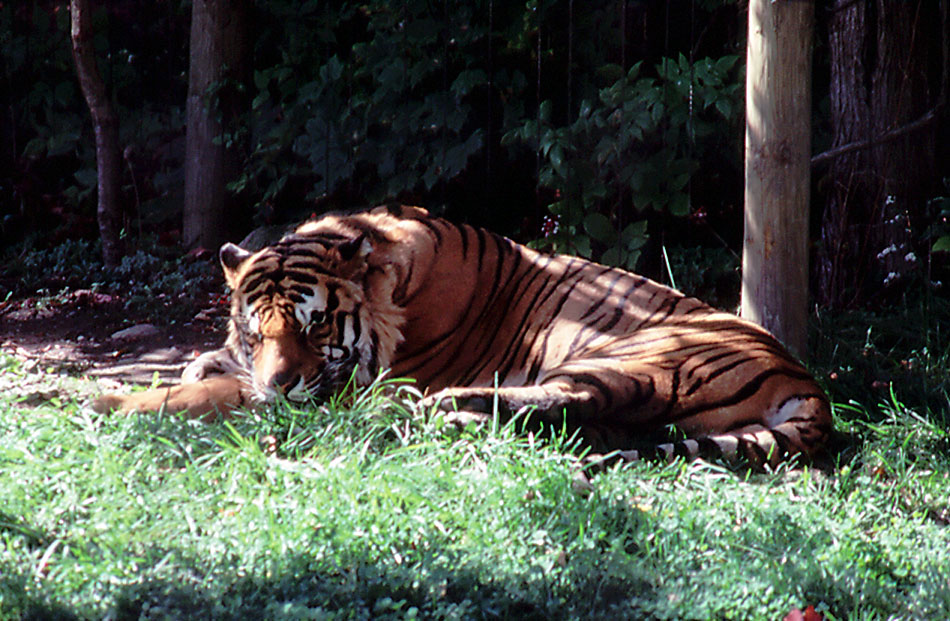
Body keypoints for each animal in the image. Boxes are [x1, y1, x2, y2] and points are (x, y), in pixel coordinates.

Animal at [94, 205, 832, 466]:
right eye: (256, 331)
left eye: (316, 323)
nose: (280, 387)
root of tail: (802, 377)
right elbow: (207, 365)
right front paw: (205, 366)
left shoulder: (352, 382)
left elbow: (208, 392)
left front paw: (107, 400)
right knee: (591, 422)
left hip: (637, 353)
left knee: (570, 402)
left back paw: (443, 407)